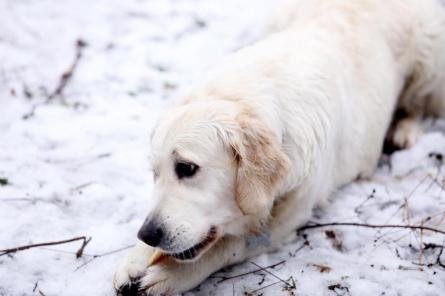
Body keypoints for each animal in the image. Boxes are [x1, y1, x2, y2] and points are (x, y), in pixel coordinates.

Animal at [112, 0, 444, 294]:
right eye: (154, 174)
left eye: (187, 168)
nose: (147, 234)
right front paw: (133, 259)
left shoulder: (290, 215)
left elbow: (229, 245)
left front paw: (172, 275)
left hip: (429, 60)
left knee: (417, 104)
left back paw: (405, 130)